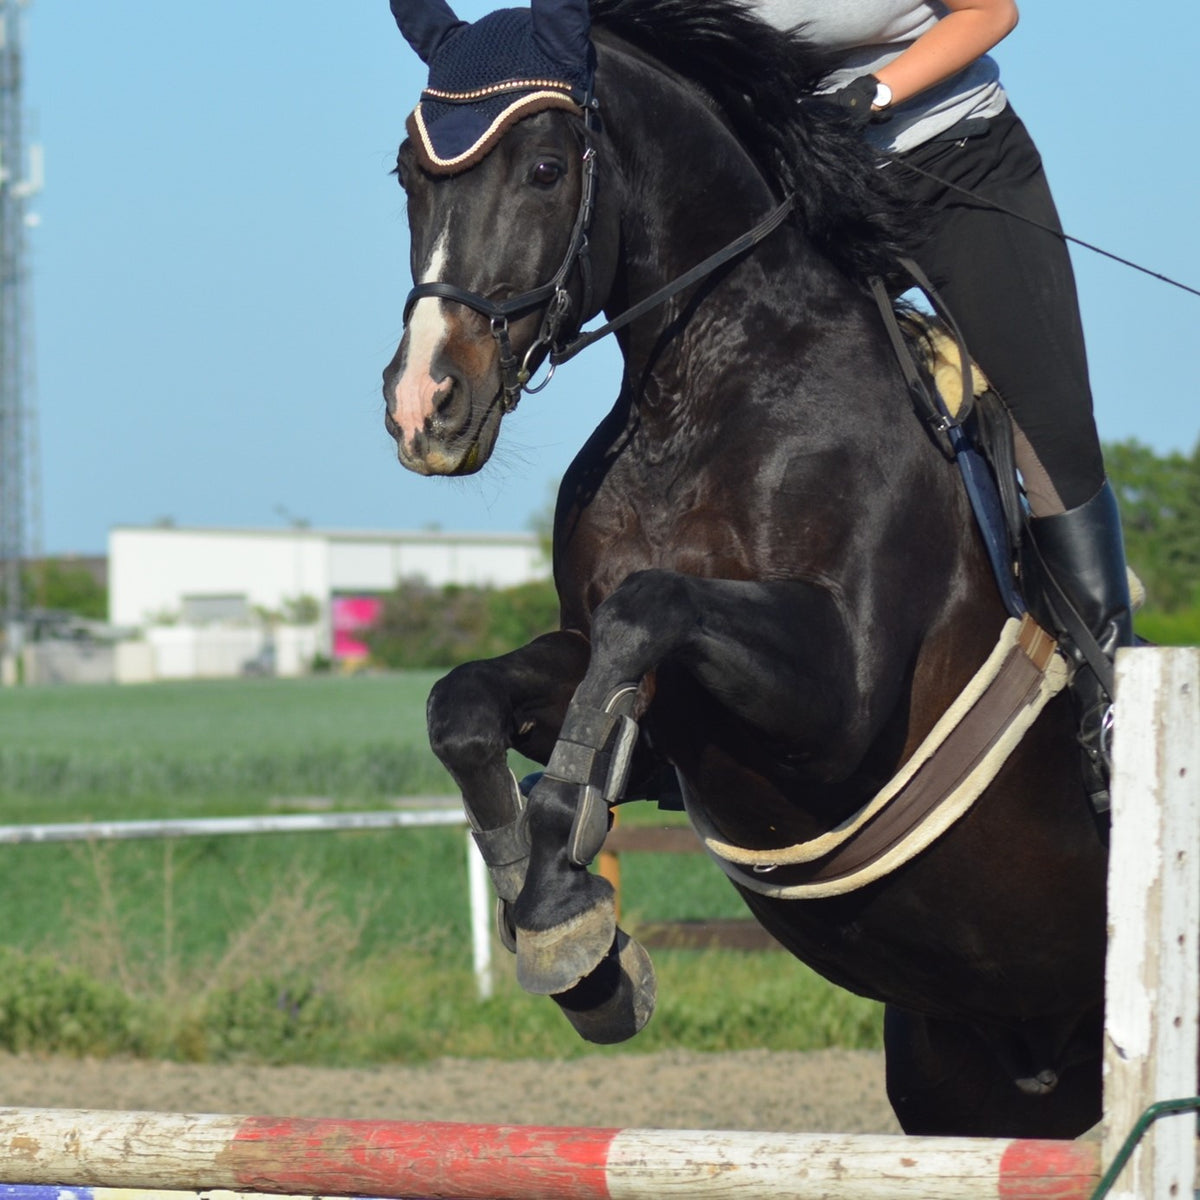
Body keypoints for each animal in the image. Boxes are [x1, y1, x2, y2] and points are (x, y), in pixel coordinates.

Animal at [381, 0, 1104, 1137]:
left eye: (544, 167)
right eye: (408, 173)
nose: (425, 406)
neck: (712, 383)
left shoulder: (844, 703)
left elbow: (648, 610)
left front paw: (564, 866)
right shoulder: (616, 668)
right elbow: (467, 705)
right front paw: (569, 931)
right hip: (965, 1080)